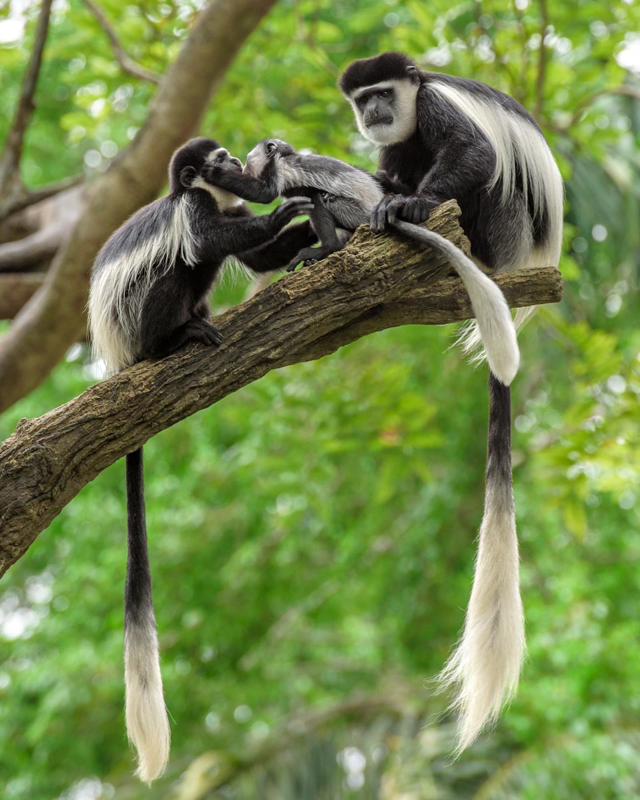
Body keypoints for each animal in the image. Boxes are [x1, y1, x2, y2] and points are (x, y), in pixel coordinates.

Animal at [87, 136, 314, 783]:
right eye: (216, 161)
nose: (237, 163)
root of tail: (119, 358)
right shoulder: (193, 209)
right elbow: (209, 242)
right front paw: (287, 211)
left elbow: (256, 256)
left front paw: (306, 230)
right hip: (141, 317)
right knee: (178, 268)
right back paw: (177, 338)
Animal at [202, 138, 519, 387]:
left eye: (249, 159)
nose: (240, 162)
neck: (284, 159)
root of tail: (374, 213)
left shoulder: (283, 170)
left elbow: (265, 193)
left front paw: (214, 173)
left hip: (353, 212)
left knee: (320, 198)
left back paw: (327, 248)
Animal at [338, 52, 564, 752]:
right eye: (363, 99)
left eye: (383, 93)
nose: (374, 113)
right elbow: (387, 164)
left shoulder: (436, 109)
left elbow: (474, 153)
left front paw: (409, 203)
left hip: (507, 224)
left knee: (487, 180)